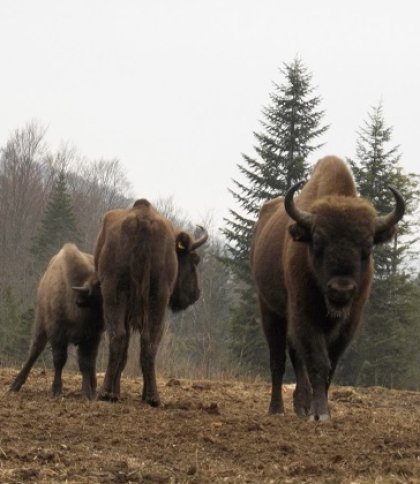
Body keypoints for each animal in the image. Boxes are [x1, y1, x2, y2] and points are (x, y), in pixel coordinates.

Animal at [9, 244, 103, 398]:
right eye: (100, 293)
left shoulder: (90, 337)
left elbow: (85, 363)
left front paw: (87, 392)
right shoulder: (57, 334)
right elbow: (59, 360)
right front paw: (56, 390)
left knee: (93, 360)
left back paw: (94, 388)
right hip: (41, 325)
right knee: (35, 349)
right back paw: (15, 385)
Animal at [94, 197, 208, 404]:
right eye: (194, 259)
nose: (195, 293)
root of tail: (144, 223)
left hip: (119, 295)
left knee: (124, 338)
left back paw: (112, 393)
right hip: (152, 297)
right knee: (143, 340)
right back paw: (147, 396)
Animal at [251, 157, 406, 422]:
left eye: (367, 245)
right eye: (317, 241)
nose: (341, 289)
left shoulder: (348, 323)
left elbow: (330, 363)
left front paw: (321, 410)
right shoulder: (305, 314)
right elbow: (318, 362)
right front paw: (320, 414)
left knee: (295, 356)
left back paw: (301, 406)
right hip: (270, 309)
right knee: (278, 360)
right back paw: (277, 409)